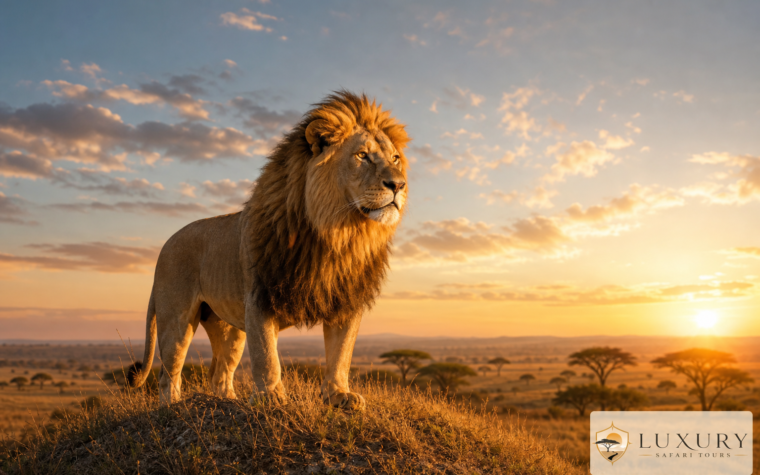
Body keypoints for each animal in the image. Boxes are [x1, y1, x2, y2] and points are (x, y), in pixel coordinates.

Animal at [128, 91, 409, 410]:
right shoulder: (260, 296)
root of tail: (166, 244)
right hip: (176, 318)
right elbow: (266, 355)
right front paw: (271, 398)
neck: (338, 234)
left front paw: (338, 395)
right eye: (362, 155)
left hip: (228, 328)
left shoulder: (344, 300)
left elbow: (341, 353)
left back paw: (228, 400)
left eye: (395, 158)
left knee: (220, 372)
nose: (399, 184)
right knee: (169, 371)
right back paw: (173, 406)